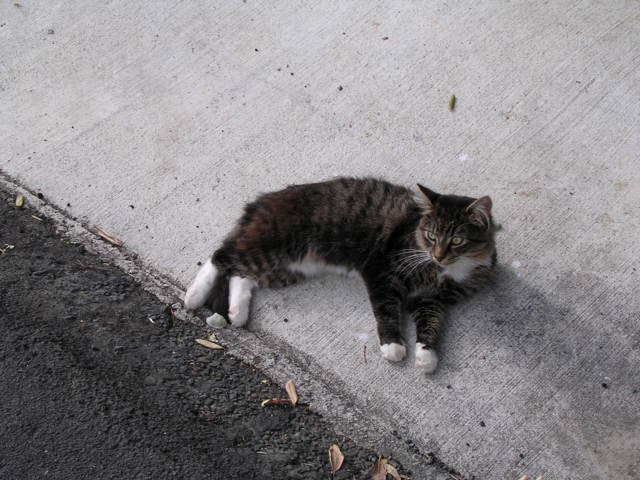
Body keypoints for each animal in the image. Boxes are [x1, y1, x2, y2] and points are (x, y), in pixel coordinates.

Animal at [182, 177, 498, 376]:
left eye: (457, 240)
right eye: (431, 236)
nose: (438, 255)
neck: (446, 269)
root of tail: (259, 202)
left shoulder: (432, 300)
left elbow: (431, 323)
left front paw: (426, 356)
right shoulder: (381, 271)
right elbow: (386, 311)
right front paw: (394, 346)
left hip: (285, 269)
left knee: (241, 274)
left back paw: (237, 312)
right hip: (273, 248)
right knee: (222, 256)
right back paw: (194, 295)